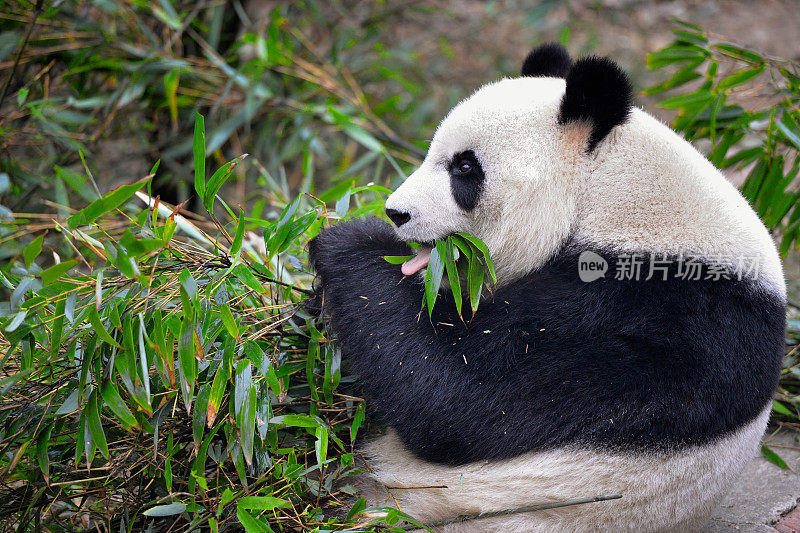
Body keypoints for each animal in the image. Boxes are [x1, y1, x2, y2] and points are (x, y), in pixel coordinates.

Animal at [308, 43, 788, 528]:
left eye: (465, 167)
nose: (396, 212)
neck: (609, 189)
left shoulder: (649, 308)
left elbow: (460, 393)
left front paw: (349, 242)